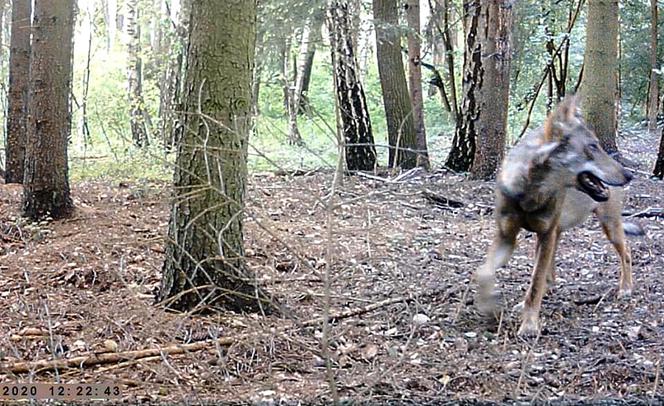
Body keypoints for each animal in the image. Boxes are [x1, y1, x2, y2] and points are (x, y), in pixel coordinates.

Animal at [478, 97, 644, 336]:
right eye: (592, 146)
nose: (629, 175)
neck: (529, 193)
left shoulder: (545, 234)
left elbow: (535, 284)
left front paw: (529, 326)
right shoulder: (506, 236)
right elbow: (484, 273)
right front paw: (488, 305)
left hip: (608, 228)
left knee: (627, 253)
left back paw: (626, 288)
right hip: (555, 234)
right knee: (550, 274)